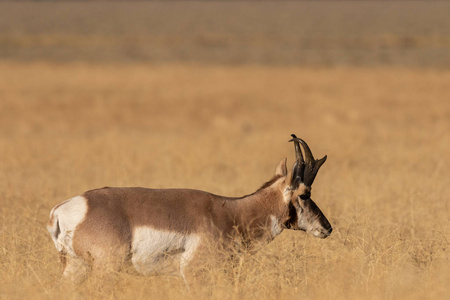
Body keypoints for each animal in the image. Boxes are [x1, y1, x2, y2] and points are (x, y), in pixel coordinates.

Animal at [48, 135, 330, 282]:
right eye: (305, 194)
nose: (327, 227)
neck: (232, 211)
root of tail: (62, 210)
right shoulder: (194, 274)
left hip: (74, 269)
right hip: (105, 269)